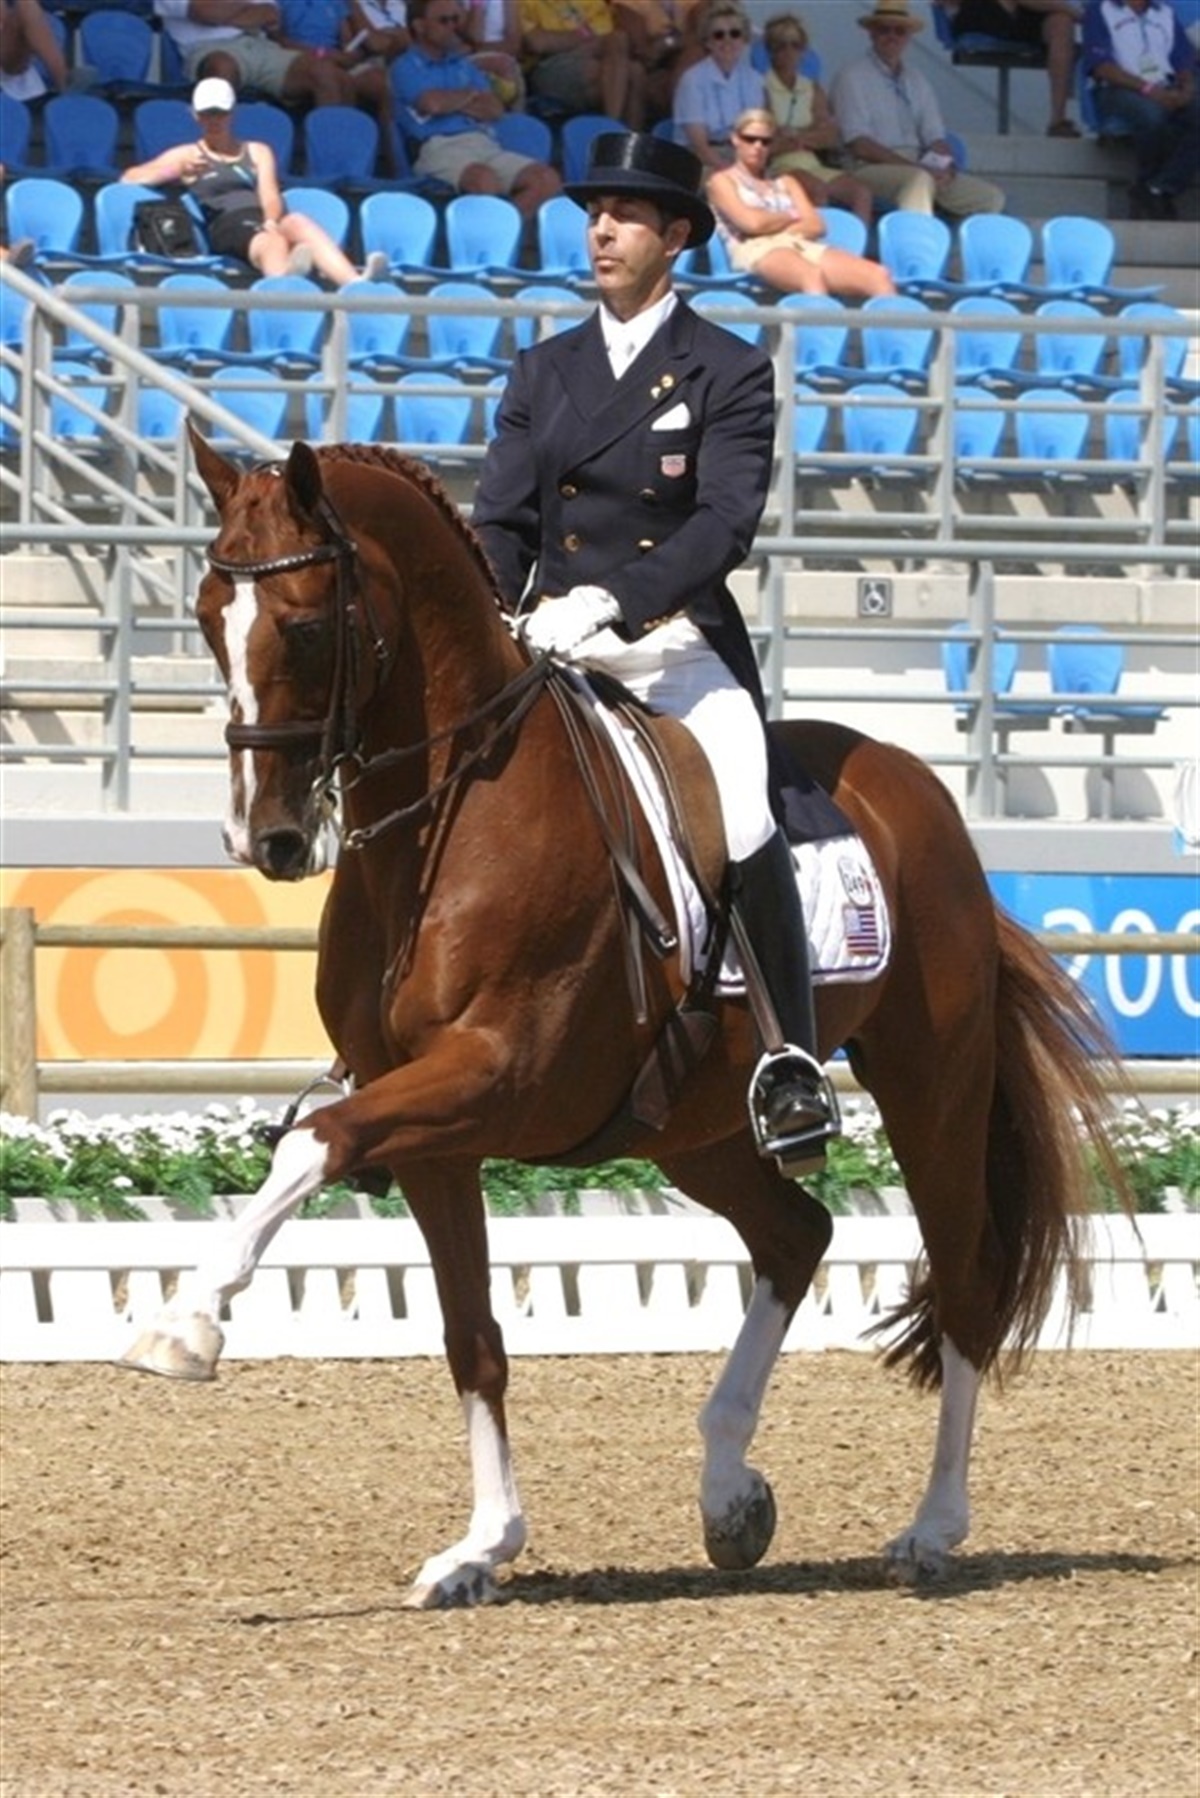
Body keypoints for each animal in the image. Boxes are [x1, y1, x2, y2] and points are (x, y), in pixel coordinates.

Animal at [120, 428, 1124, 1608]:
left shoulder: (494, 1077)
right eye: (204, 616)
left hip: (933, 1088)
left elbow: (312, 1143)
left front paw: (182, 1323)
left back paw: (930, 1529)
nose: (265, 839)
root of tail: (913, 782)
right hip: (692, 1127)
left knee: (962, 1279)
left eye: (309, 623)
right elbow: (471, 1332)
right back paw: (730, 1491)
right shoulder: (430, 1130)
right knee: (797, 1234)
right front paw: (482, 1546)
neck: (448, 822)